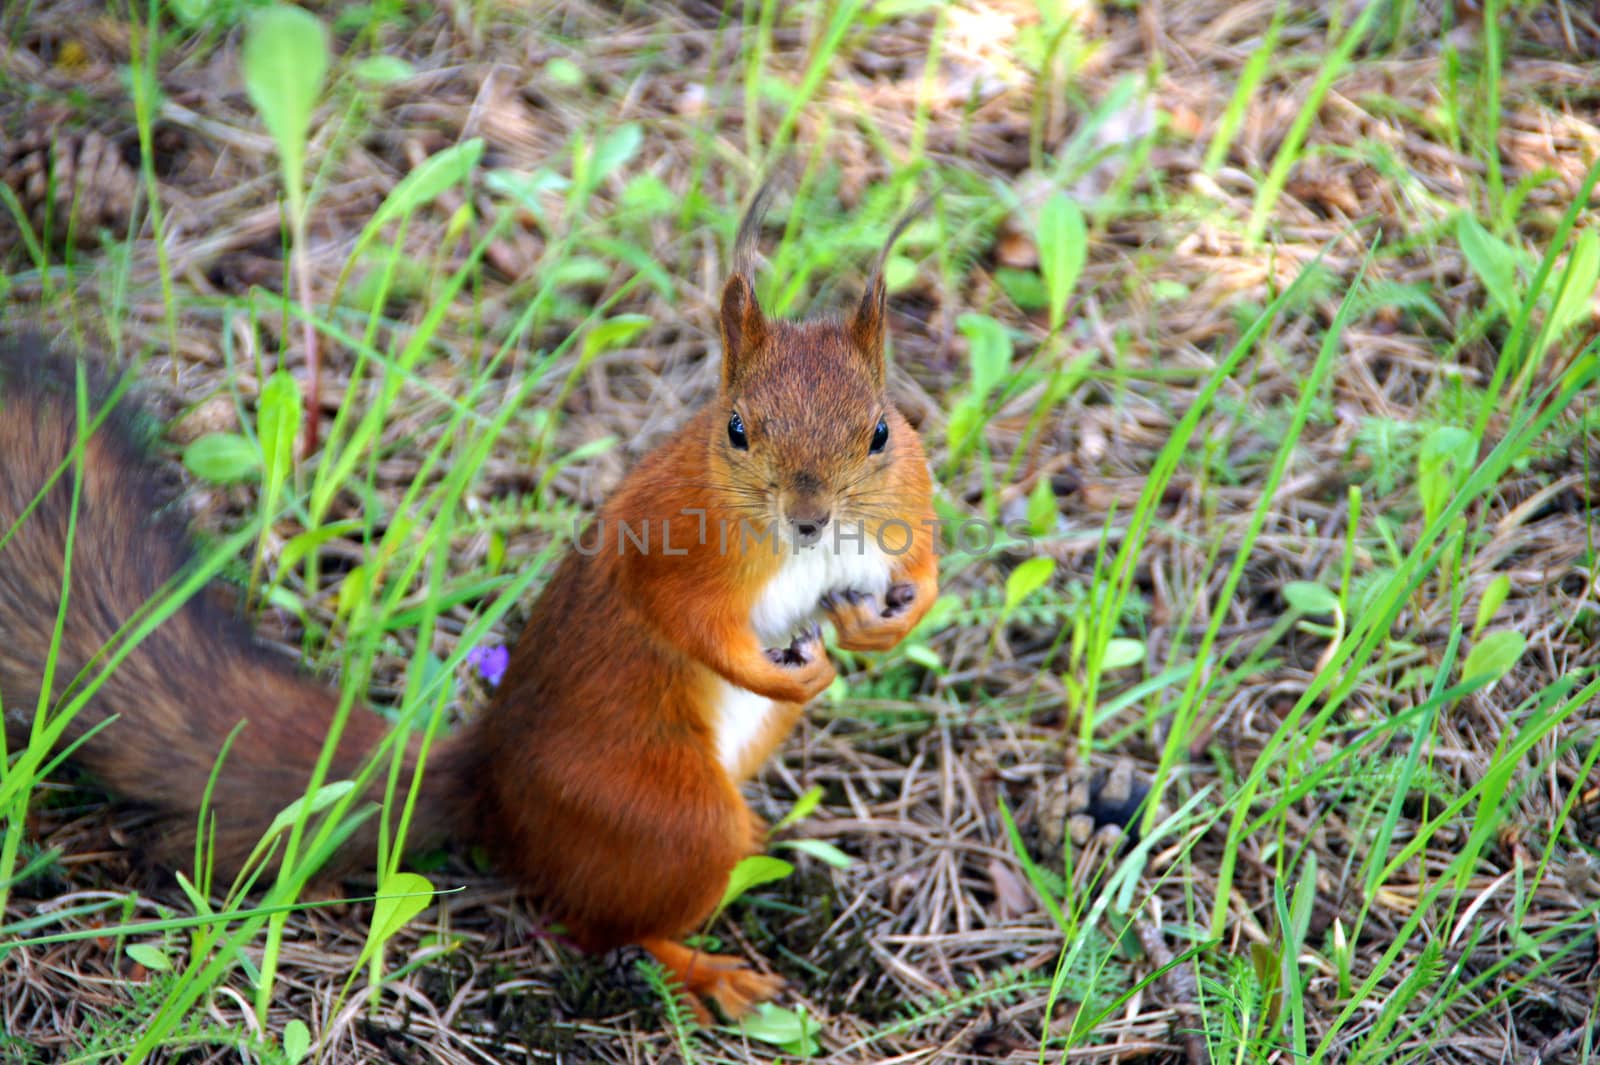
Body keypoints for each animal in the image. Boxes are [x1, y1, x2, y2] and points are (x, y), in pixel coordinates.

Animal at [3, 192, 934, 1023]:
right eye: (737, 429)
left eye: (882, 431)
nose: (809, 514)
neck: (806, 548)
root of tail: (493, 782)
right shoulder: (667, 544)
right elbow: (685, 622)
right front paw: (792, 675)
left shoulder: (911, 499)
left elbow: (924, 567)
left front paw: (887, 623)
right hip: (664, 811)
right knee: (600, 924)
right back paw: (704, 969)